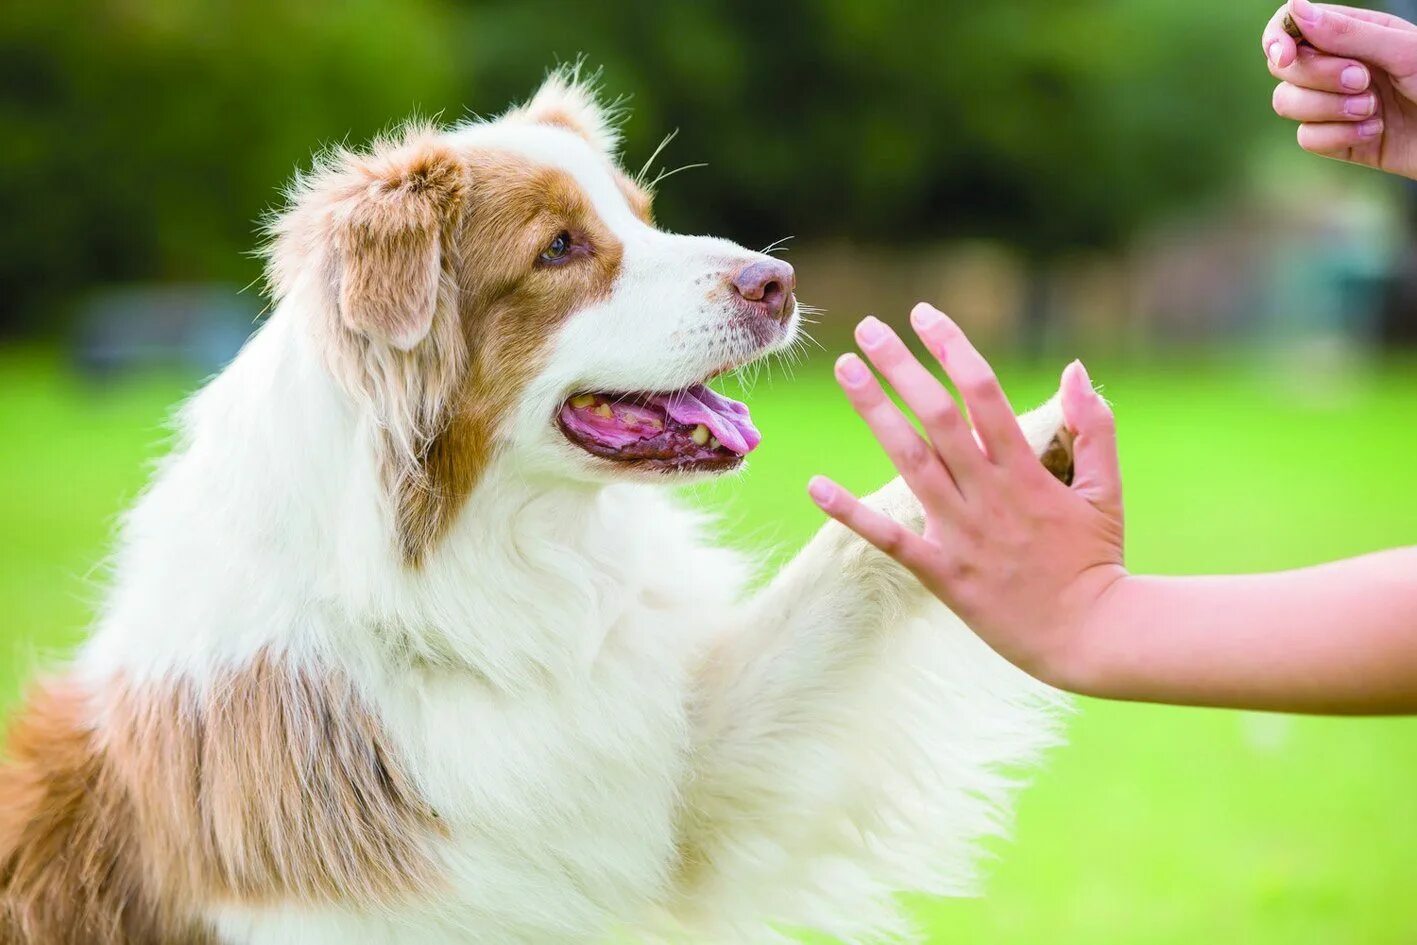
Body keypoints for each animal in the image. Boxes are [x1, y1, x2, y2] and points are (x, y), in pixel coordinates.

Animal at [0, 70, 1065, 940]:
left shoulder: (681, 770)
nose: (779, 280)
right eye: (558, 248)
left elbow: (841, 566)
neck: (469, 580)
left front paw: (1016, 450)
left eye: (644, 215)